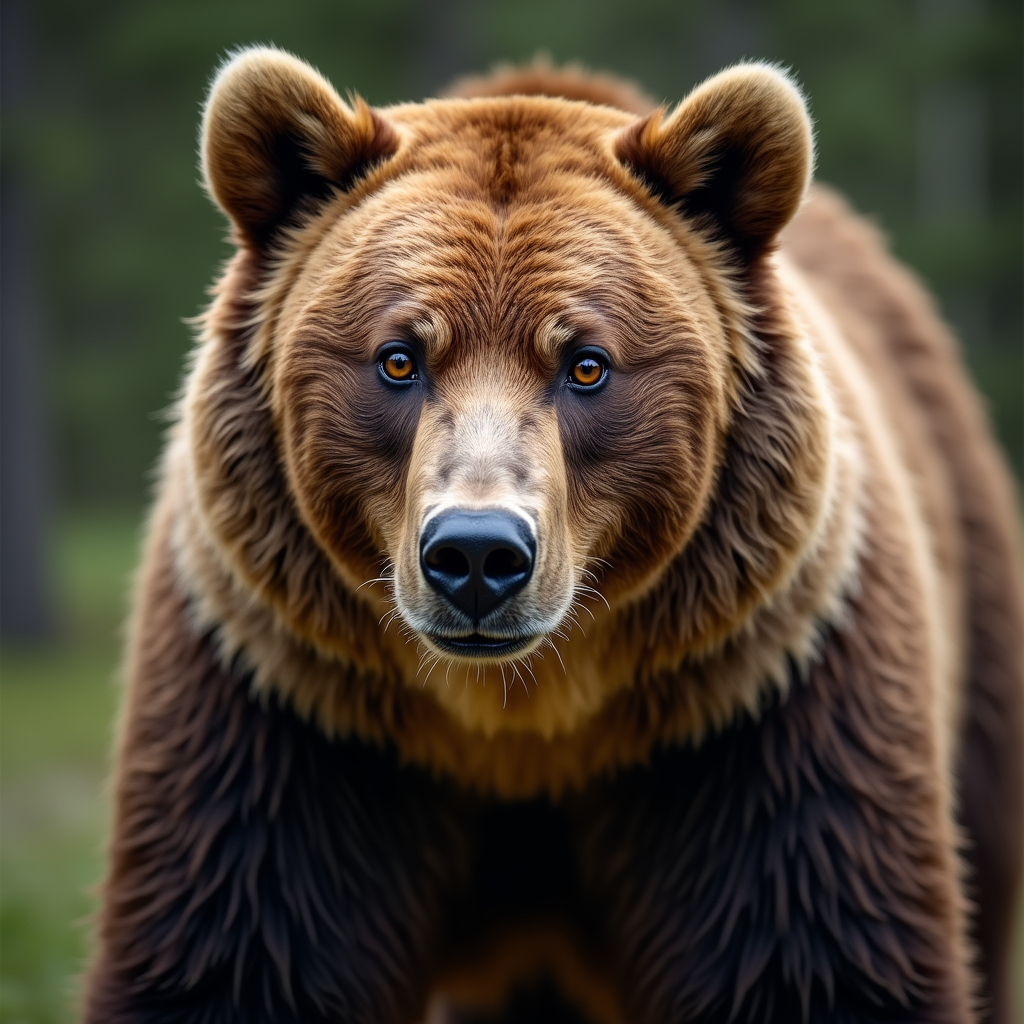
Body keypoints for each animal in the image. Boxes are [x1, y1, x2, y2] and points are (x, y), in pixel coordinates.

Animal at [82, 47, 1023, 1024]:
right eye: (399, 357)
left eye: (586, 364)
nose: (476, 554)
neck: (525, 725)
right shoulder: (294, 710)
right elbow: (244, 951)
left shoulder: (755, 710)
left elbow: (812, 952)